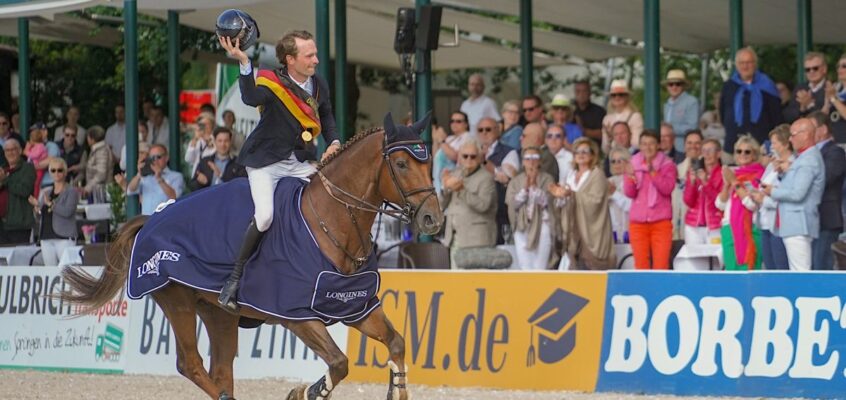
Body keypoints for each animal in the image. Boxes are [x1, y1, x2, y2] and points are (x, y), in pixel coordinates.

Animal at [59, 113, 444, 400]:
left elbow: (396, 343)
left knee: (220, 367)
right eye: (401, 163)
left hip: (217, 312)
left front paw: (397, 389)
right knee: (192, 364)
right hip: (177, 300)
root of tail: (153, 217)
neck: (332, 220)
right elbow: (339, 362)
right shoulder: (296, 316)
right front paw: (304, 392)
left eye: (427, 162)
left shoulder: (355, 305)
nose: (432, 219)